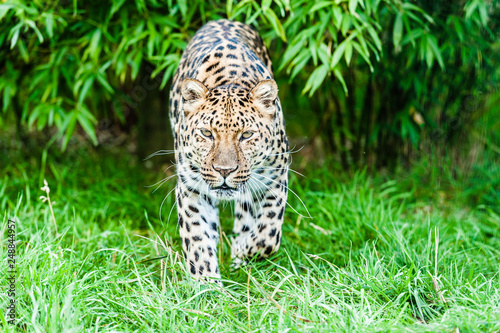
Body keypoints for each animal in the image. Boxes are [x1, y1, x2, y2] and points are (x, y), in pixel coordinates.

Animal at [169, 19, 290, 282]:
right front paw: (206, 284)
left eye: (246, 135)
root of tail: (224, 19)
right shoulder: (191, 189)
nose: (224, 171)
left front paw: (244, 251)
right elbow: (198, 240)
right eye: (207, 133)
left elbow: (268, 234)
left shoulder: (276, 179)